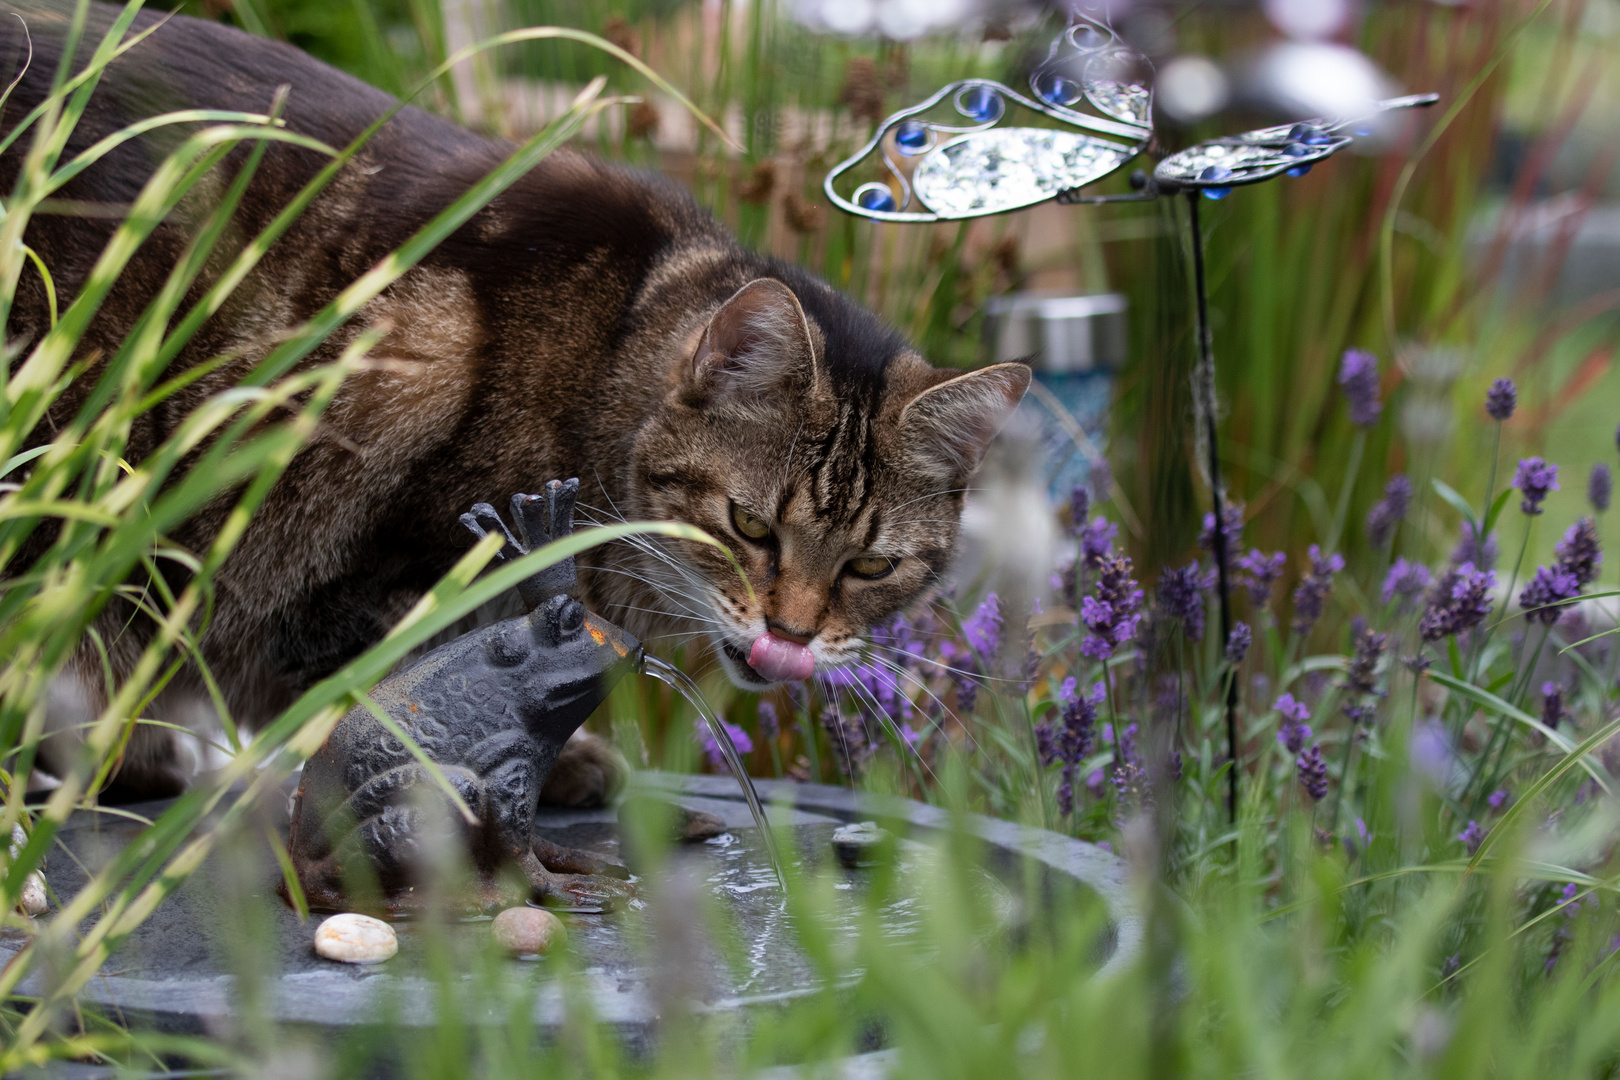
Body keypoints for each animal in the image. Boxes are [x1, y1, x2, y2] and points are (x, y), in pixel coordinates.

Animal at [3, 2, 1023, 803]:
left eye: (869, 567)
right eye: (749, 526)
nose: (792, 634)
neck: (607, 362)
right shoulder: (360, 568)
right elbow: (410, 677)